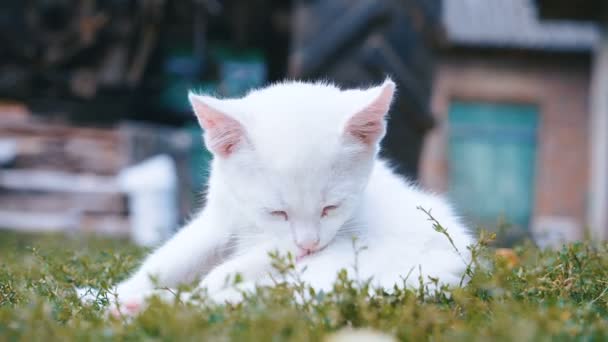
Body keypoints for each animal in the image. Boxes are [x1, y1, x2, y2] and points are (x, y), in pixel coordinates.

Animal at [108, 78, 470, 312]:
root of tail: (456, 266)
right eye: (277, 212)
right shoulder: (219, 217)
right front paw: (112, 291)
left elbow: (237, 268)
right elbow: (171, 258)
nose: (308, 245)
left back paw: (151, 305)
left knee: (251, 296)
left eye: (331, 208)